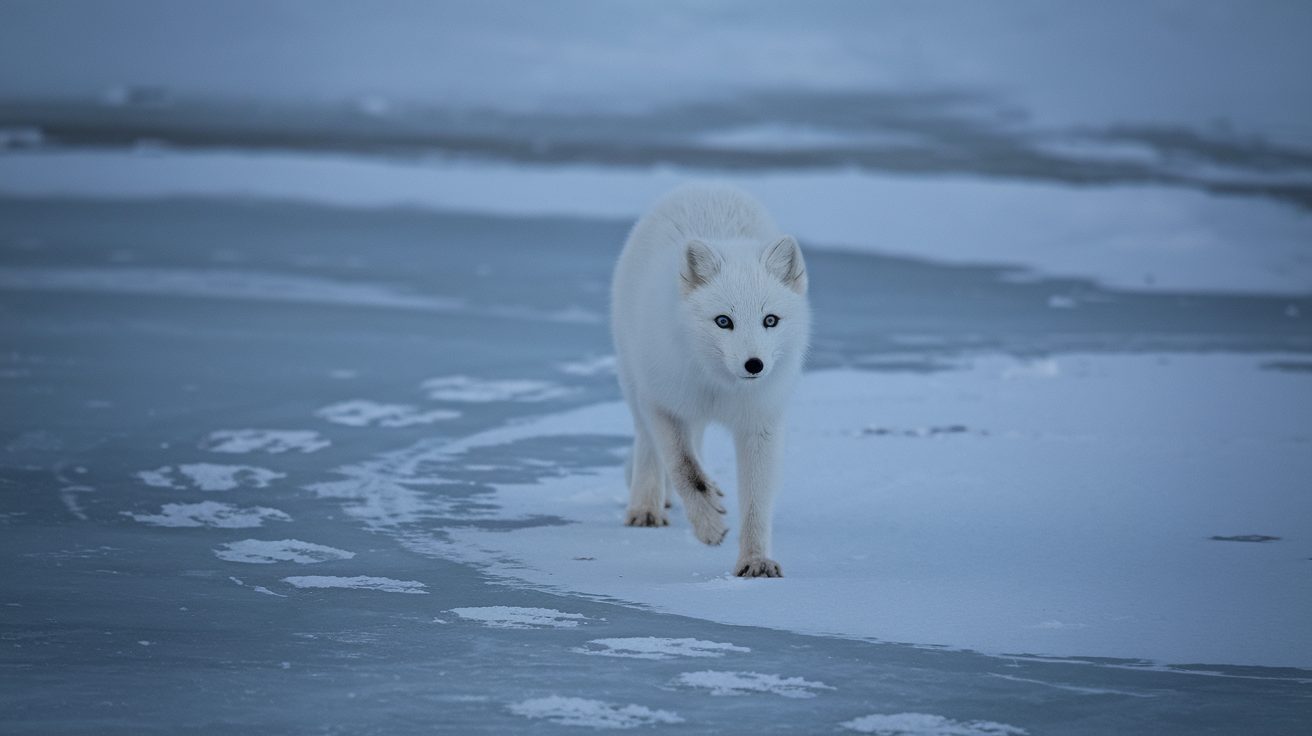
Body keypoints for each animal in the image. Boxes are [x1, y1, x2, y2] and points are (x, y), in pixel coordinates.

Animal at [606, 182, 808, 574]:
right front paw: (709, 525)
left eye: (770, 320)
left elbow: (757, 500)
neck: (719, 387)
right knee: (648, 445)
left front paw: (755, 561)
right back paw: (645, 508)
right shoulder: (662, 403)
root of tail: (705, 185)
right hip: (635, 382)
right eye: (723, 321)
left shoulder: (761, 423)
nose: (754, 364)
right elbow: (683, 467)